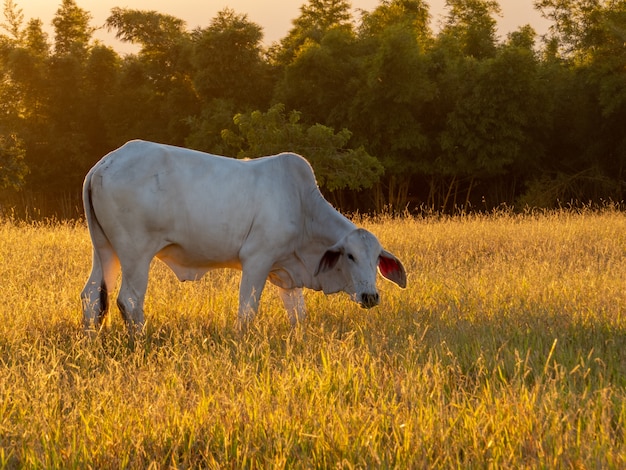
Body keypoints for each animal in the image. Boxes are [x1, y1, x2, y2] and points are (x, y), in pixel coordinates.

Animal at [80, 140, 404, 330]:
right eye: (350, 255)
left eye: (377, 258)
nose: (370, 296)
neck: (302, 207)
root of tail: (103, 164)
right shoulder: (257, 260)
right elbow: (247, 311)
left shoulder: (286, 272)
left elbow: (298, 315)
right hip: (135, 253)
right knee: (130, 300)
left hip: (104, 250)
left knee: (92, 296)